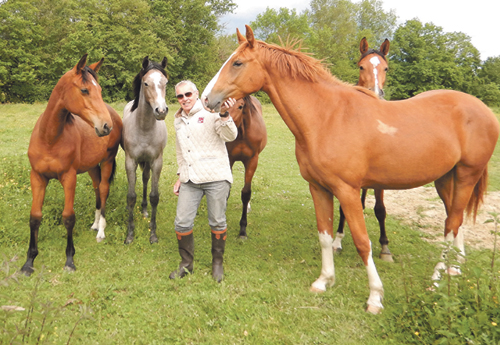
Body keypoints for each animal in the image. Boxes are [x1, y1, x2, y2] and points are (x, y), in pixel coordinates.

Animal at [21, 55, 123, 276]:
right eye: (84, 90)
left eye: (100, 90)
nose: (106, 126)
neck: (50, 139)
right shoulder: (37, 177)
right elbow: (35, 217)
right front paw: (29, 262)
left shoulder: (69, 177)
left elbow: (68, 217)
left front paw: (69, 260)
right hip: (93, 166)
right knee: (96, 189)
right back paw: (95, 224)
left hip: (108, 160)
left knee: (103, 189)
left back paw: (101, 231)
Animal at [122, 56, 169, 243]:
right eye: (146, 83)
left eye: (165, 82)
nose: (161, 111)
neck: (144, 129)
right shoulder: (130, 161)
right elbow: (130, 196)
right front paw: (129, 234)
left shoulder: (156, 162)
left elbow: (154, 196)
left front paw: (153, 235)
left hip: (147, 162)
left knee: (145, 179)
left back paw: (144, 210)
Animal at [332, 36, 394, 260]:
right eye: (361, 66)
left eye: (386, 68)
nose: (375, 93)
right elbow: (345, 208)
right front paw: (338, 240)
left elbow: (380, 209)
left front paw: (385, 247)